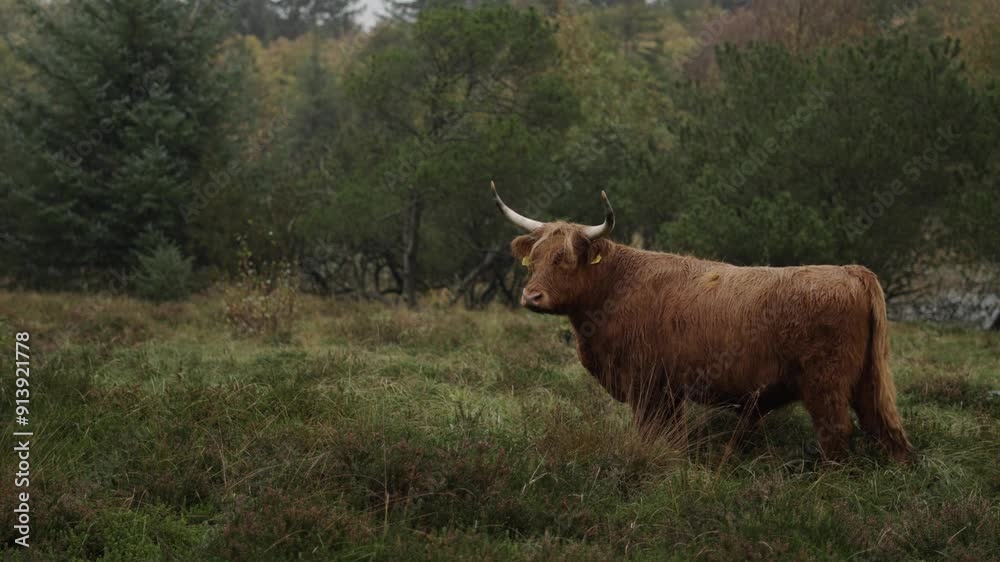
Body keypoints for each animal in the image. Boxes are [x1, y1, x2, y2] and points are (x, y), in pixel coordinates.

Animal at [491, 182, 912, 462]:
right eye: (534, 258)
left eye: (564, 259)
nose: (531, 297)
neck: (615, 285)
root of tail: (850, 270)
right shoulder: (668, 391)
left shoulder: (646, 385)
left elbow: (653, 434)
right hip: (866, 382)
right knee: (886, 430)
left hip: (825, 384)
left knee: (838, 433)